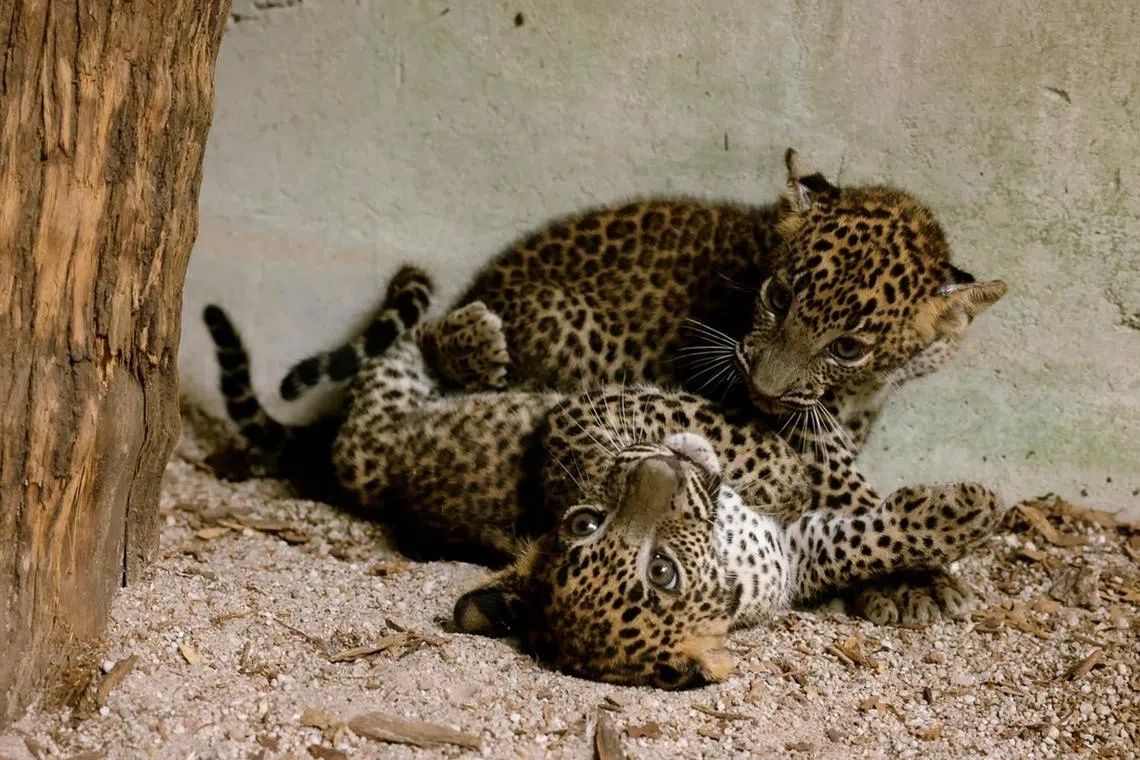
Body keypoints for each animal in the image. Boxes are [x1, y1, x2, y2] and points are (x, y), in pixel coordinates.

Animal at [203, 273, 1006, 689]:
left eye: (587, 525)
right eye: (662, 573)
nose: (662, 470)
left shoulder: (798, 550)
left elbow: (858, 531)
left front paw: (954, 512)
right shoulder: (589, 415)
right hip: (372, 431)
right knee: (397, 350)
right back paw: (461, 329)